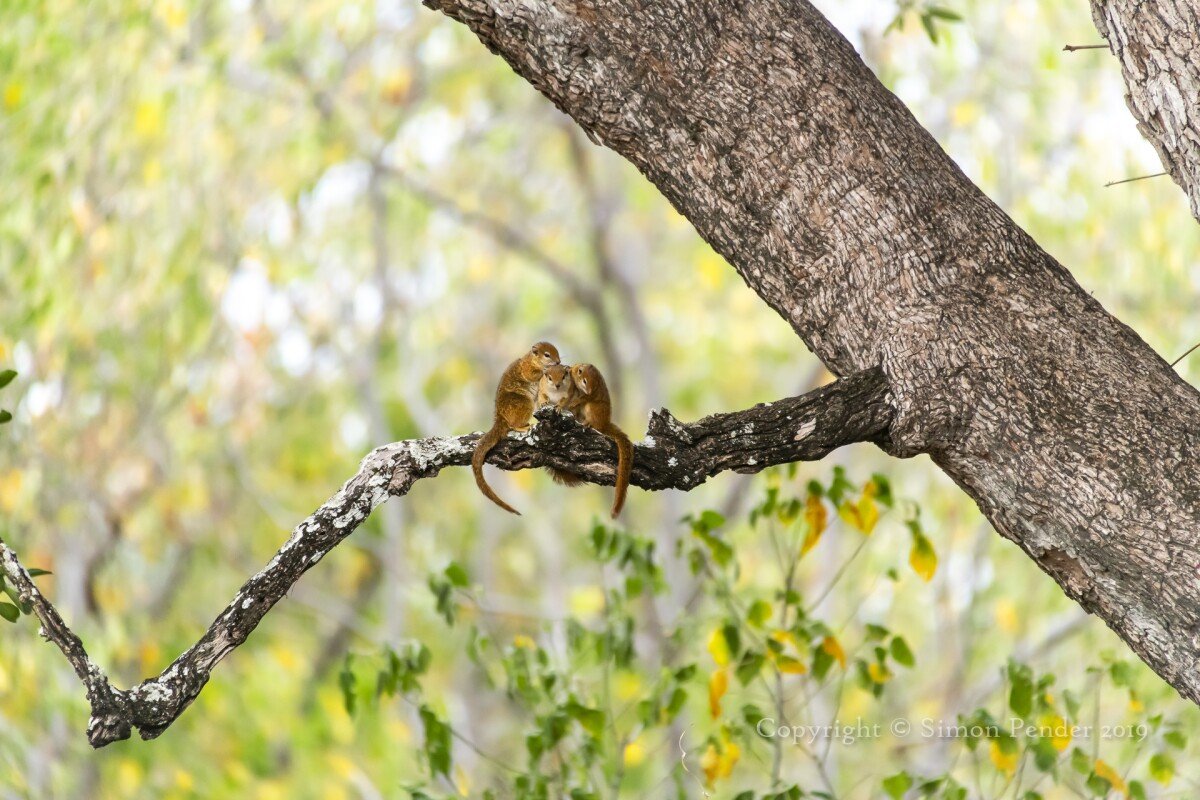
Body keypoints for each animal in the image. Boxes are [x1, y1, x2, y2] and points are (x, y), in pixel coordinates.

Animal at [472, 342, 561, 515]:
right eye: (547, 355)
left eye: (557, 352)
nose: (559, 362)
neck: (532, 359)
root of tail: (500, 420)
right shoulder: (527, 369)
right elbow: (533, 374)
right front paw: (544, 371)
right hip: (524, 403)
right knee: (512, 426)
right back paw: (522, 427)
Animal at [565, 363, 633, 518]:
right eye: (585, 381)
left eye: (593, 384)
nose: (589, 389)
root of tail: (605, 424)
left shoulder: (591, 394)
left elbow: (584, 398)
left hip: (591, 409)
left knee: (594, 423)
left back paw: (588, 423)